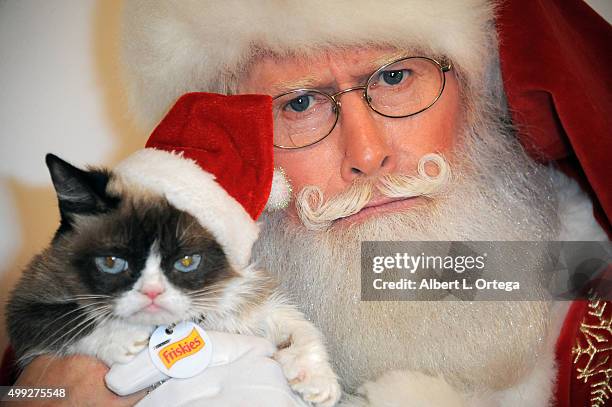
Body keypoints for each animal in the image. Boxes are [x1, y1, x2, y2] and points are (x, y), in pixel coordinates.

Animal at [5, 155, 340, 406]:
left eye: (187, 261)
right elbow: (63, 320)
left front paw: (316, 377)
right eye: (112, 262)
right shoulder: (26, 298)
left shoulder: (239, 297)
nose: (152, 292)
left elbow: (293, 320)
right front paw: (121, 337)